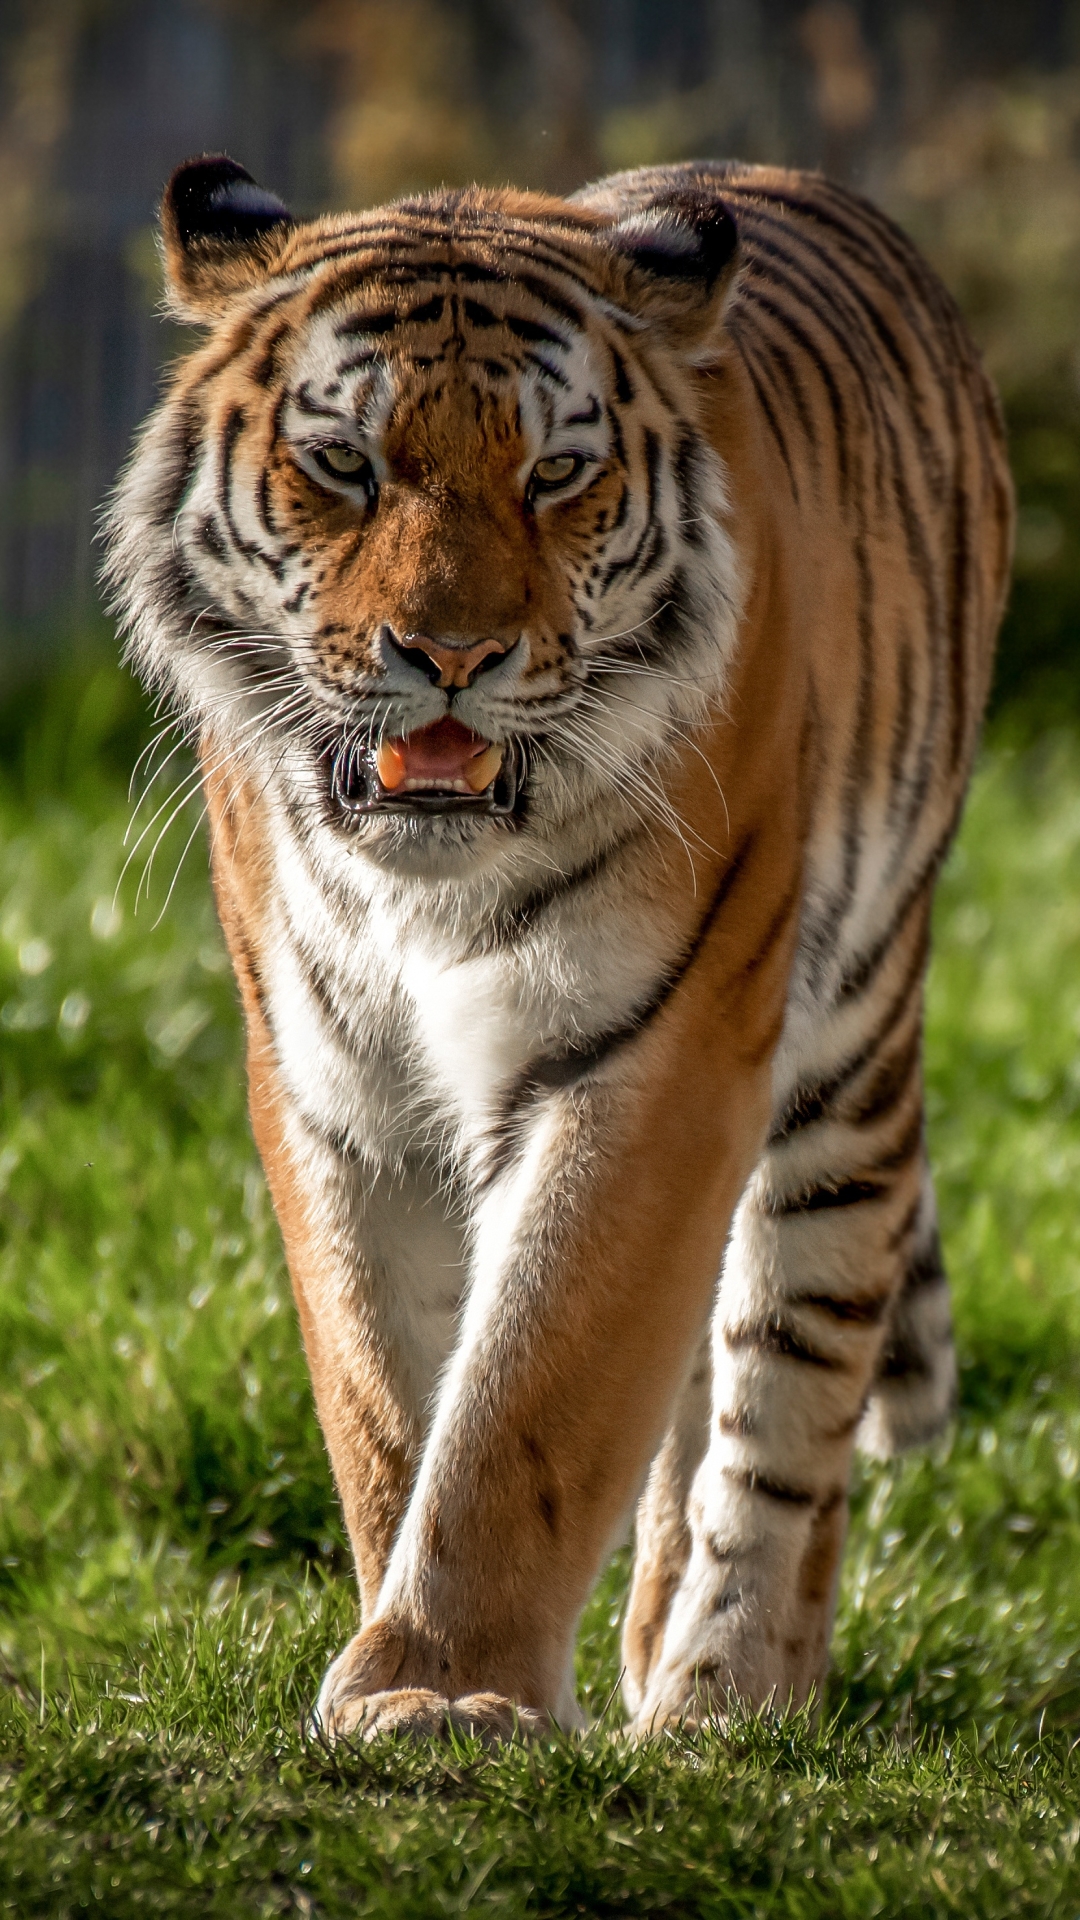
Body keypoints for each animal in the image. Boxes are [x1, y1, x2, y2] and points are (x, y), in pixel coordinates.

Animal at [105, 149, 1006, 1743]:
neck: (428, 889)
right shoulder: (332, 1086)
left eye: (555, 475)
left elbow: (539, 1383)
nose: (449, 655)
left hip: (846, 1060)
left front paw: (445, 1688)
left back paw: (726, 1695)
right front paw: (408, 1665)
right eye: (347, 464)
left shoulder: (661, 1051)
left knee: (791, 1375)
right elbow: (387, 1393)